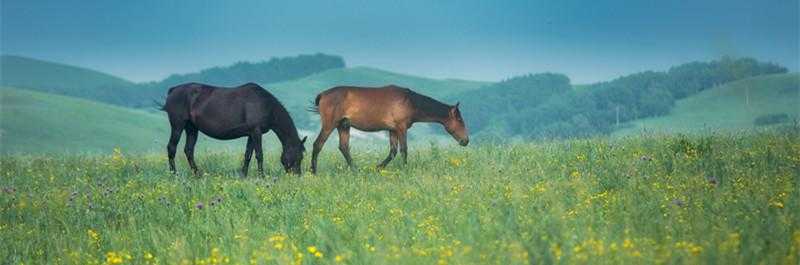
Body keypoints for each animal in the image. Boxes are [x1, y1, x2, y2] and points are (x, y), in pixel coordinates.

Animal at [160, 82, 306, 177]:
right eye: (299, 155)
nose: (297, 176)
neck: (265, 104)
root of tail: (173, 90)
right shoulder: (256, 132)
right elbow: (259, 155)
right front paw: (261, 176)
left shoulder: (251, 134)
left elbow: (248, 155)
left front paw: (244, 175)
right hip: (178, 126)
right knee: (172, 148)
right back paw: (174, 174)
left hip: (191, 128)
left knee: (189, 150)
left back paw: (197, 174)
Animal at [308, 84, 468, 173]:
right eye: (460, 120)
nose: (465, 141)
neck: (410, 101)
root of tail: (323, 94)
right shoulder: (401, 128)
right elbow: (404, 150)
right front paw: (405, 169)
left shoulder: (393, 130)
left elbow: (393, 152)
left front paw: (378, 167)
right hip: (330, 125)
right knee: (318, 145)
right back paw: (313, 171)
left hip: (344, 126)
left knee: (344, 147)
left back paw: (356, 170)